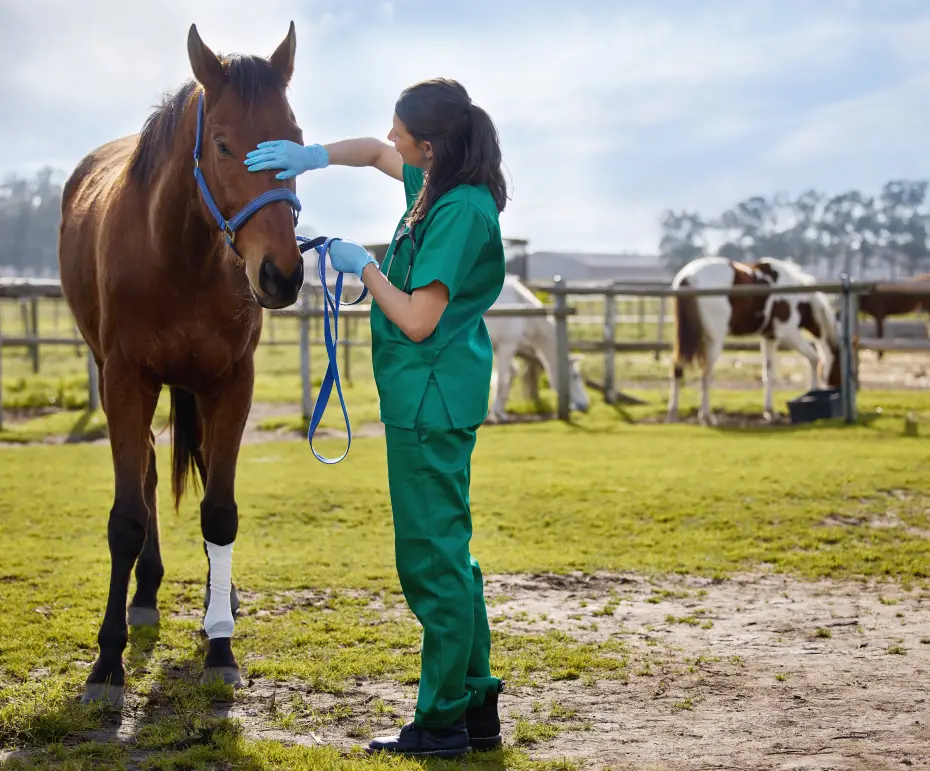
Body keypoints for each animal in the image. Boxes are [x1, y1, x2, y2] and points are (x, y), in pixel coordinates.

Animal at [486, 274, 588, 422]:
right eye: (575, 376)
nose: (584, 405)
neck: (521, 309)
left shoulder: (502, 348)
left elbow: (511, 375)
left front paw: (500, 412)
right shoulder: (507, 345)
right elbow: (501, 381)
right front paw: (495, 414)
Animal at [664, 260, 836, 428]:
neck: (797, 296)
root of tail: (689, 277)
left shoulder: (769, 338)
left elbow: (769, 373)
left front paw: (770, 412)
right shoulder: (789, 335)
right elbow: (814, 359)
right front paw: (812, 394)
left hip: (684, 340)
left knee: (677, 368)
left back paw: (673, 413)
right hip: (714, 341)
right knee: (705, 374)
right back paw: (707, 417)